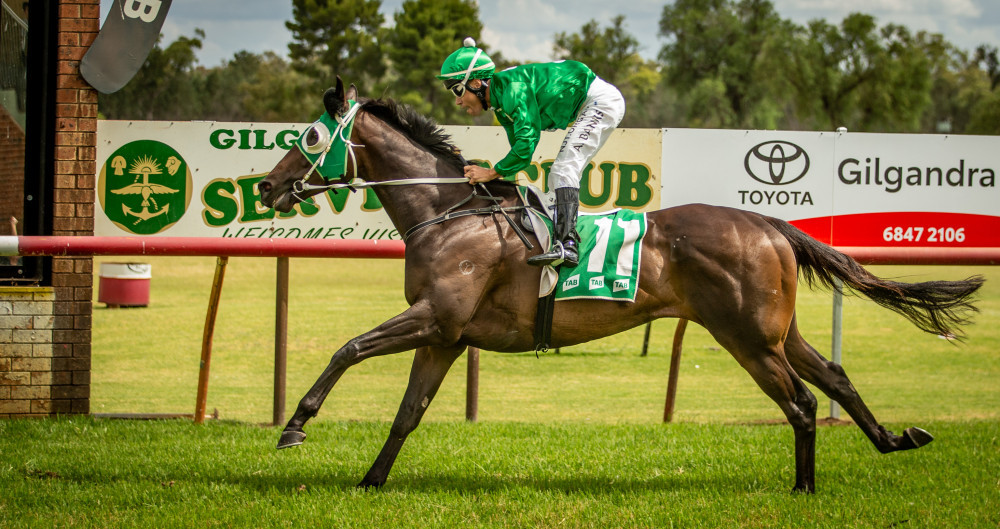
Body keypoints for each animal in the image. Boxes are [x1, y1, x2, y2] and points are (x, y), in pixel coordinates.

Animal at [258, 77, 984, 490]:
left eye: (310, 137)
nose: (266, 186)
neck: (449, 211)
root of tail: (769, 220)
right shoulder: (447, 335)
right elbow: (408, 412)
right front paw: (371, 481)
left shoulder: (435, 317)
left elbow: (347, 348)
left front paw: (294, 426)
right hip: (776, 330)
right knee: (833, 375)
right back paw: (894, 439)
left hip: (747, 337)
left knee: (802, 403)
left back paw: (804, 490)